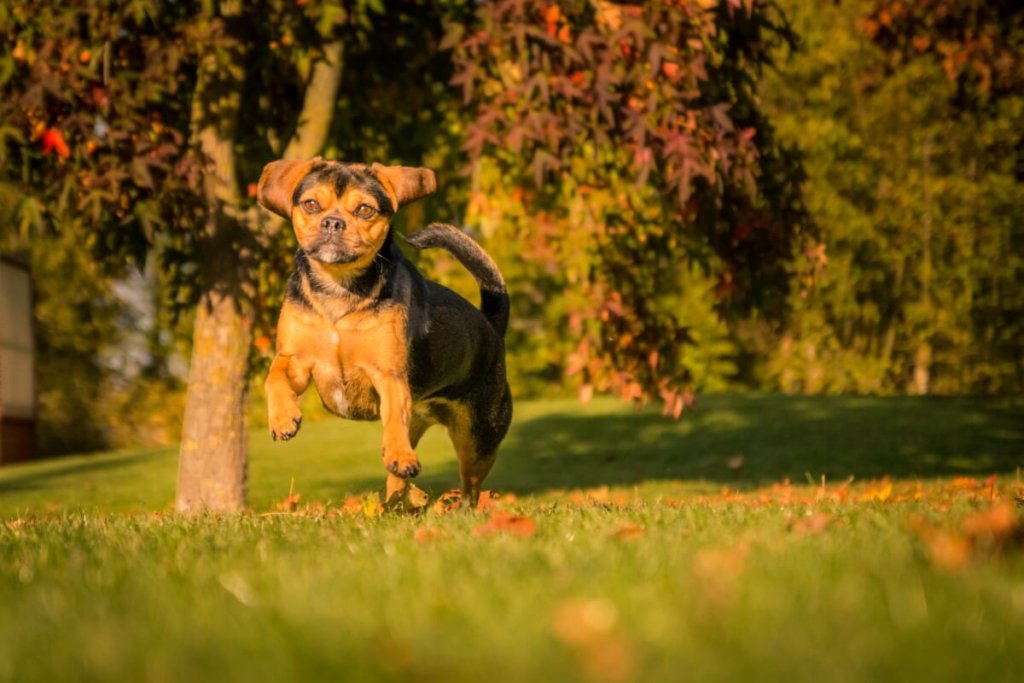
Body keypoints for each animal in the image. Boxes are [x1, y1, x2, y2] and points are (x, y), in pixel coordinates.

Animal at [256, 157, 512, 505]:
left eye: (365, 210)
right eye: (310, 204)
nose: (332, 222)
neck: (339, 289)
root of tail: (492, 327)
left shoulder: (388, 374)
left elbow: (392, 418)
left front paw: (399, 455)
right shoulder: (295, 360)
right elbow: (274, 376)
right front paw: (283, 417)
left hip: (477, 441)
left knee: (469, 488)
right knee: (400, 478)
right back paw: (393, 501)